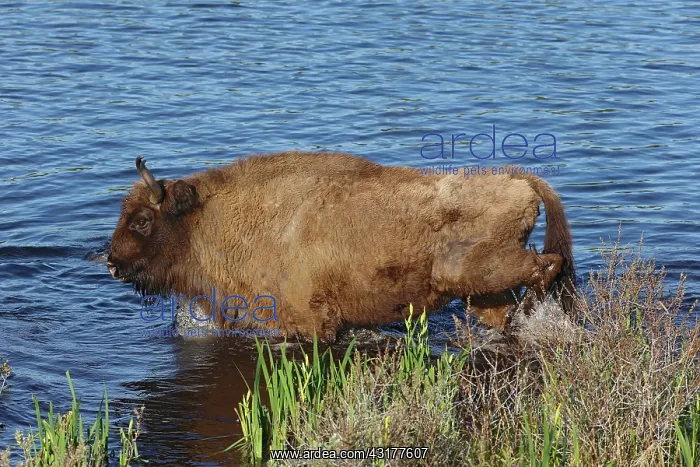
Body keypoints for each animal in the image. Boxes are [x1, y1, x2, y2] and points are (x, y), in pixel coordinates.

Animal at [107, 152, 575, 342]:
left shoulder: (310, 322)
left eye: (142, 220)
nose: (112, 262)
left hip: (482, 270)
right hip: (483, 292)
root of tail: (518, 179)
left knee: (548, 265)